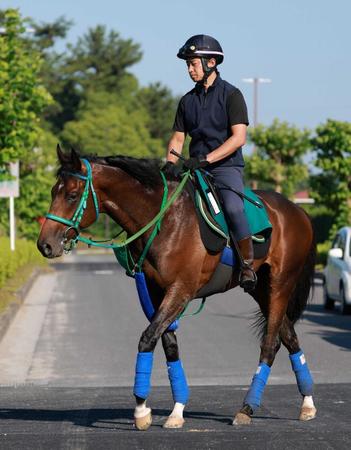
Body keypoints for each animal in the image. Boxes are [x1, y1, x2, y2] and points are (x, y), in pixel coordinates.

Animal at [37, 147, 318, 428]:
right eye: (52, 192)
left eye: (72, 195)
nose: (45, 245)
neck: (166, 220)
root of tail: (298, 211)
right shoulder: (156, 291)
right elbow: (169, 345)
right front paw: (176, 410)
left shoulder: (181, 290)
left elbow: (147, 339)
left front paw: (141, 410)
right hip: (261, 291)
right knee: (289, 338)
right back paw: (307, 404)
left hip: (280, 285)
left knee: (270, 344)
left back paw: (247, 408)